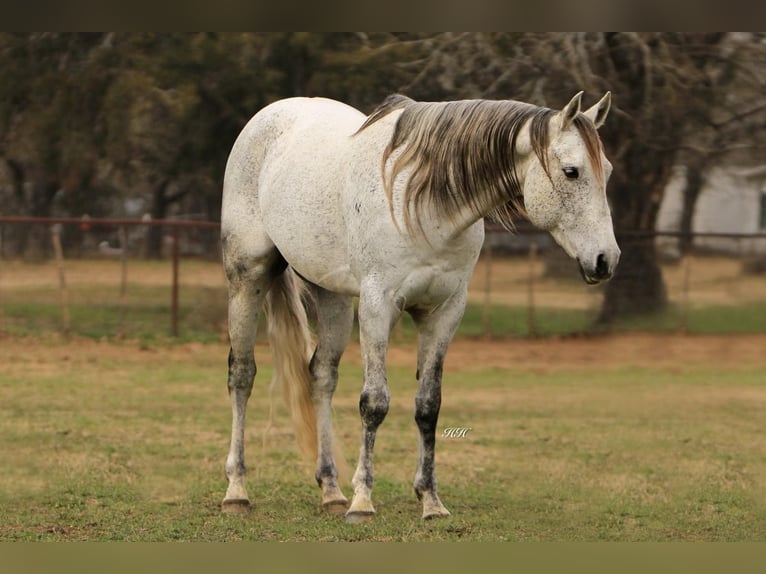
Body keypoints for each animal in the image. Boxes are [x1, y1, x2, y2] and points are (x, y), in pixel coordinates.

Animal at [219, 89, 620, 520]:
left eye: (608, 171)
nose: (606, 260)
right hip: (247, 281)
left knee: (321, 377)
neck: (424, 203)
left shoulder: (444, 313)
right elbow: (374, 402)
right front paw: (363, 502)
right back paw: (237, 490)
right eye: (571, 172)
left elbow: (428, 405)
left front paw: (430, 500)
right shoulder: (377, 307)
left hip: (334, 299)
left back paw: (330, 490)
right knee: (242, 375)